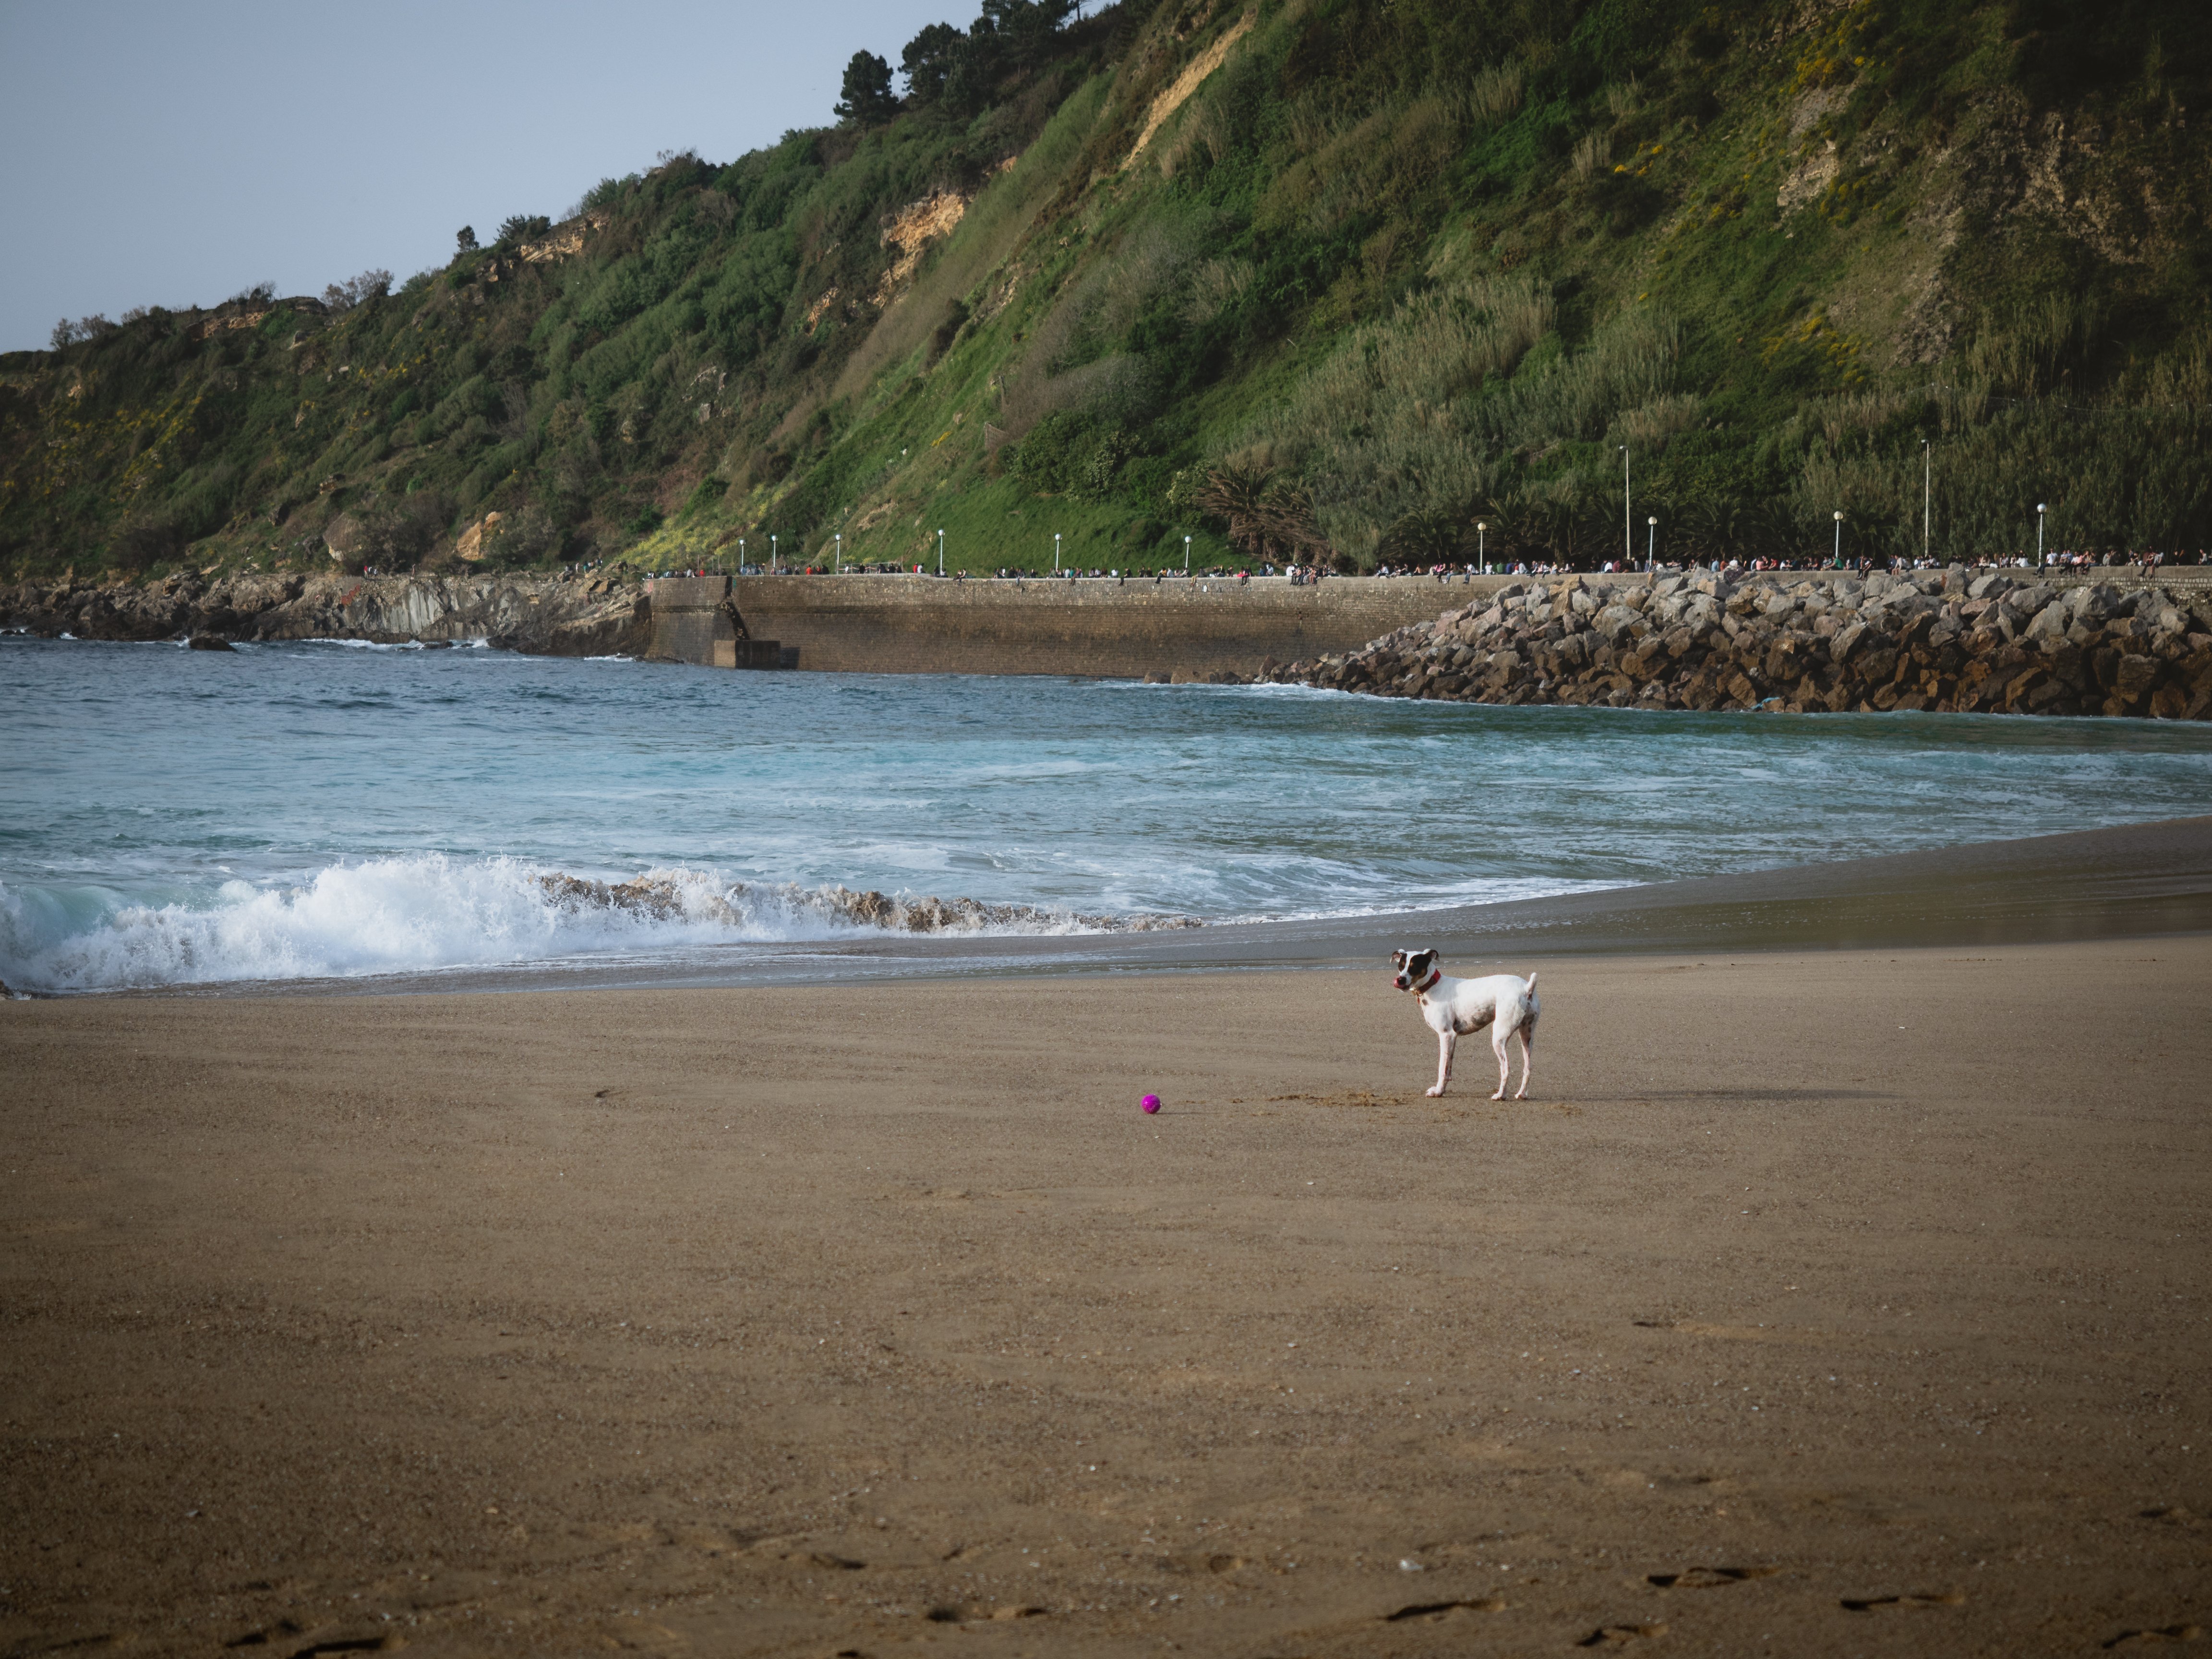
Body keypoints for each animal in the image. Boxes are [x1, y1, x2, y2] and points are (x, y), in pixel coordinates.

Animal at [1389, 948, 1539, 1099]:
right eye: (1401, 966)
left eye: (1415, 966)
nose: (1400, 980)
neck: (1434, 986)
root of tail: (1526, 988)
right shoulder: (1452, 1038)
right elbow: (1448, 1068)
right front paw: (1442, 1089)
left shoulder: (1446, 1035)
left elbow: (1442, 1068)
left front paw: (1438, 1091)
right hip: (1527, 1036)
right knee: (1528, 1067)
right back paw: (1522, 1094)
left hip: (1499, 1037)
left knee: (1506, 1068)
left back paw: (1500, 1095)